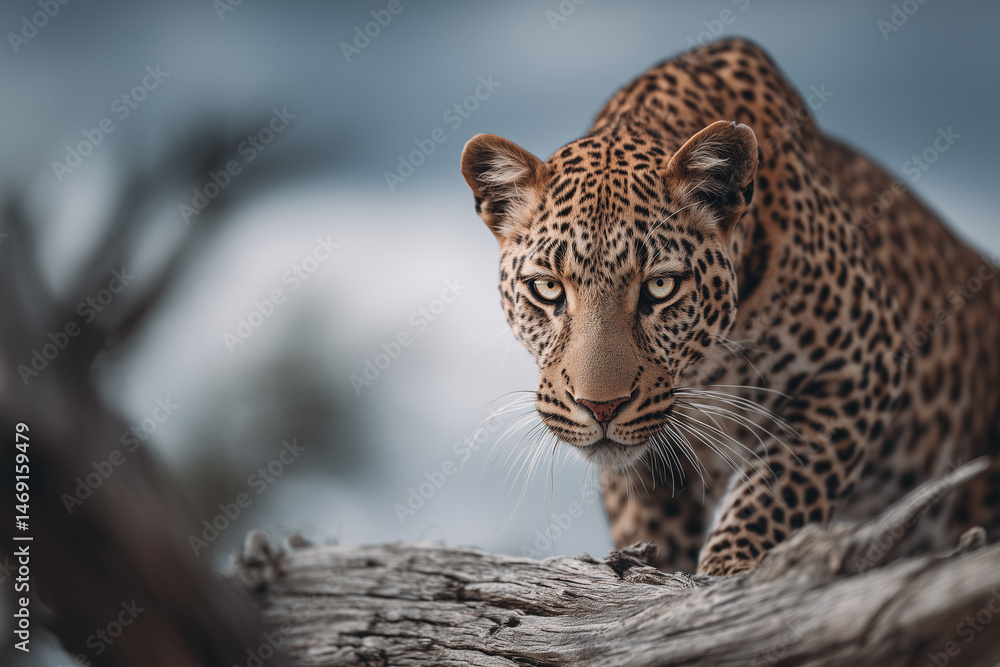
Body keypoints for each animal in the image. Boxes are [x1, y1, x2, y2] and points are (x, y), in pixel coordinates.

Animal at [459, 37, 1000, 576]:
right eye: (548, 289)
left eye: (660, 287)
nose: (601, 407)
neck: (709, 366)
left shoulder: (864, 364)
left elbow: (780, 486)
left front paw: (732, 573)